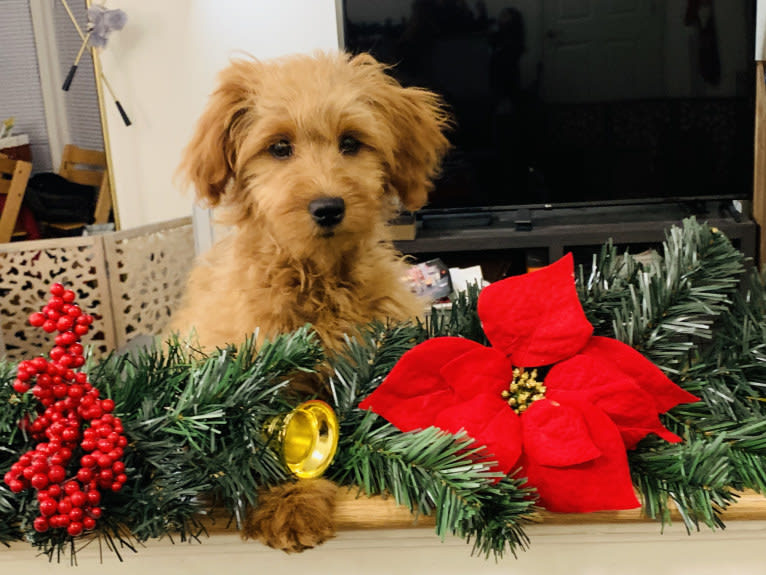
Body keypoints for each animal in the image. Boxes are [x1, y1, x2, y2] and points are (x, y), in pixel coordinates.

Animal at [170, 53, 450, 552]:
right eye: (279, 148)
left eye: (351, 143)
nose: (328, 207)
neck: (316, 281)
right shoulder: (251, 371)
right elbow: (264, 442)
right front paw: (289, 503)